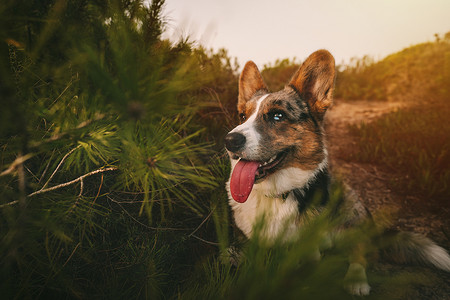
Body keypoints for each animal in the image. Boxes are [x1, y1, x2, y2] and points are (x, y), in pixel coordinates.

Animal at [224, 49, 450, 296]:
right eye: (242, 116)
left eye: (277, 116)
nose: (229, 140)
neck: (276, 194)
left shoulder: (308, 250)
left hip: (350, 209)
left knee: (359, 250)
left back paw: (356, 280)